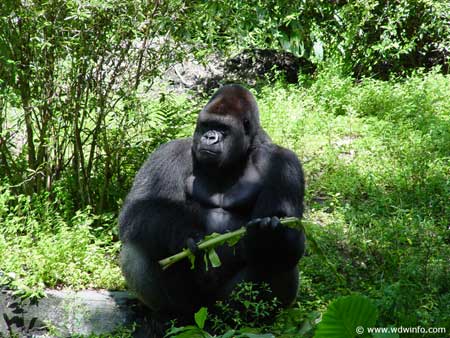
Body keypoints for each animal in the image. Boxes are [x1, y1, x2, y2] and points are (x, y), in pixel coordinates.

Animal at [118, 84, 306, 320]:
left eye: (222, 129)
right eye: (206, 125)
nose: (209, 137)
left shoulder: (284, 162)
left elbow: (291, 235)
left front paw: (269, 237)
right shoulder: (169, 153)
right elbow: (139, 208)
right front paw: (184, 234)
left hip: (223, 303)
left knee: (282, 260)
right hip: (193, 305)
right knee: (137, 244)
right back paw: (170, 314)